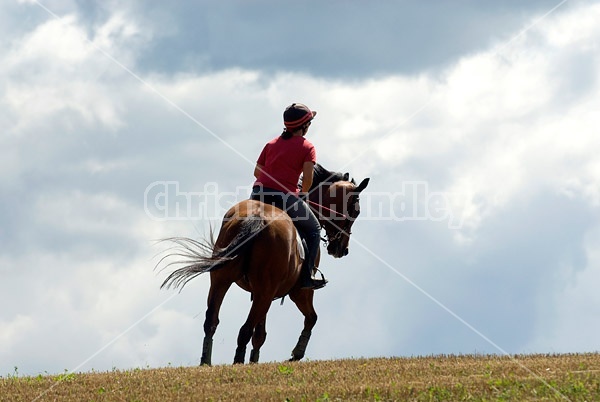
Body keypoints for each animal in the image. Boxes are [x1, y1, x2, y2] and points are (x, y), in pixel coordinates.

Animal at [157, 163, 368, 364]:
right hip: (265, 292)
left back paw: (206, 362)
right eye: (355, 211)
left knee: (212, 321)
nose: (341, 249)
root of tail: (255, 218)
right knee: (245, 329)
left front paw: (255, 360)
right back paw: (237, 362)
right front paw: (296, 353)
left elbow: (260, 334)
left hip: (223, 281)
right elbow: (311, 318)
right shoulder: (298, 291)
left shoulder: (262, 292)